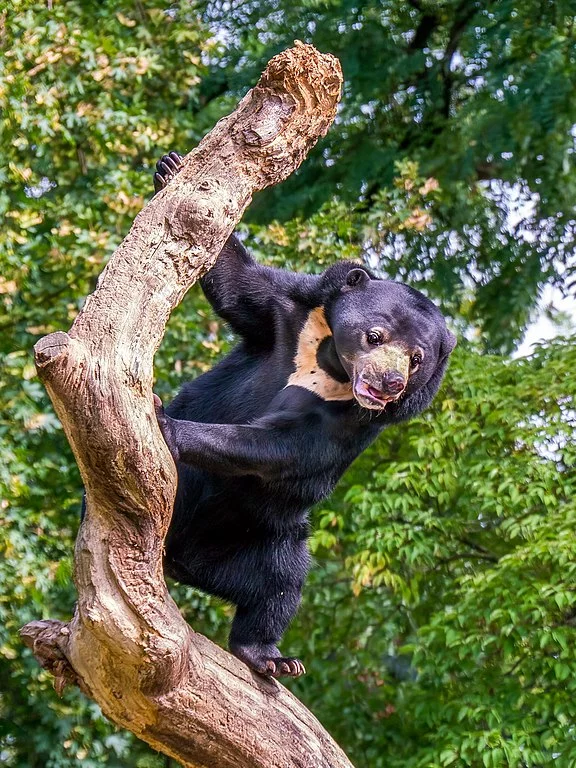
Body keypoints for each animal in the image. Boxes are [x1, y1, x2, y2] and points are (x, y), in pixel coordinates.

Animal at [152, 152, 456, 677]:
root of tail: (184, 561)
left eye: (417, 359)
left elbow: (289, 446)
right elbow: (238, 286)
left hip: (263, 533)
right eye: (375, 336)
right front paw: (170, 167)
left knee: (282, 579)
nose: (388, 385)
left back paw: (267, 655)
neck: (331, 362)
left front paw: (170, 425)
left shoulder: (348, 420)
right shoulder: (287, 312)